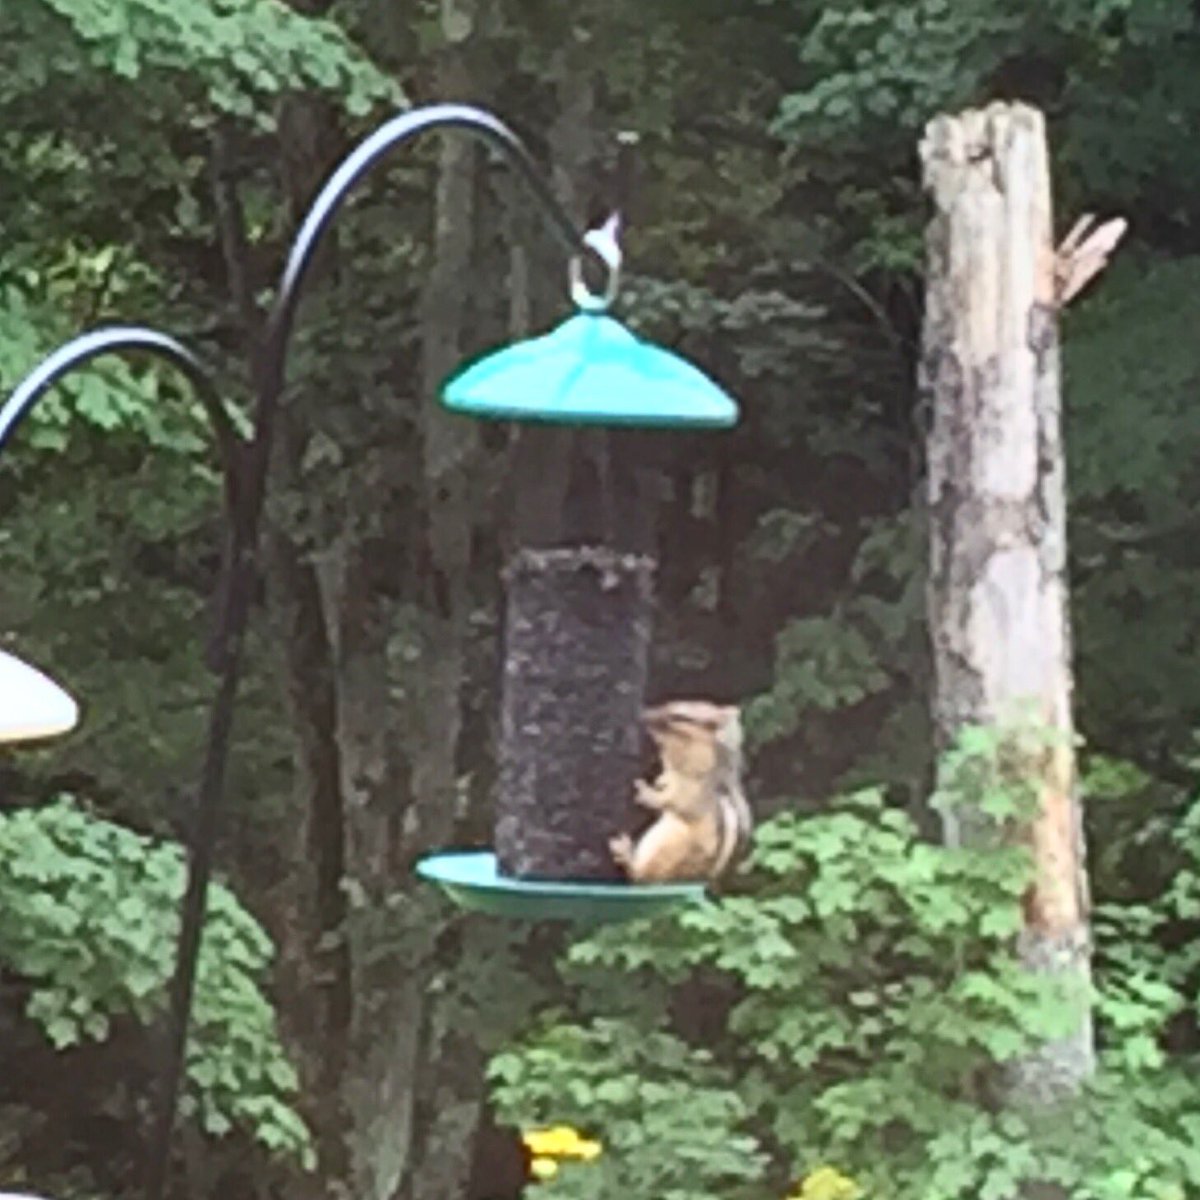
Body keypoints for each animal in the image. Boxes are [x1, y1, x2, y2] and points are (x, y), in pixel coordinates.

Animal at [609, 700, 752, 885]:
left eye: (681, 717)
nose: (645, 715)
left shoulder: (692, 790)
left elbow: (672, 800)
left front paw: (646, 792)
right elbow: (666, 779)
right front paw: (659, 781)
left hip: (665, 850)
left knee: (641, 876)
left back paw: (626, 854)